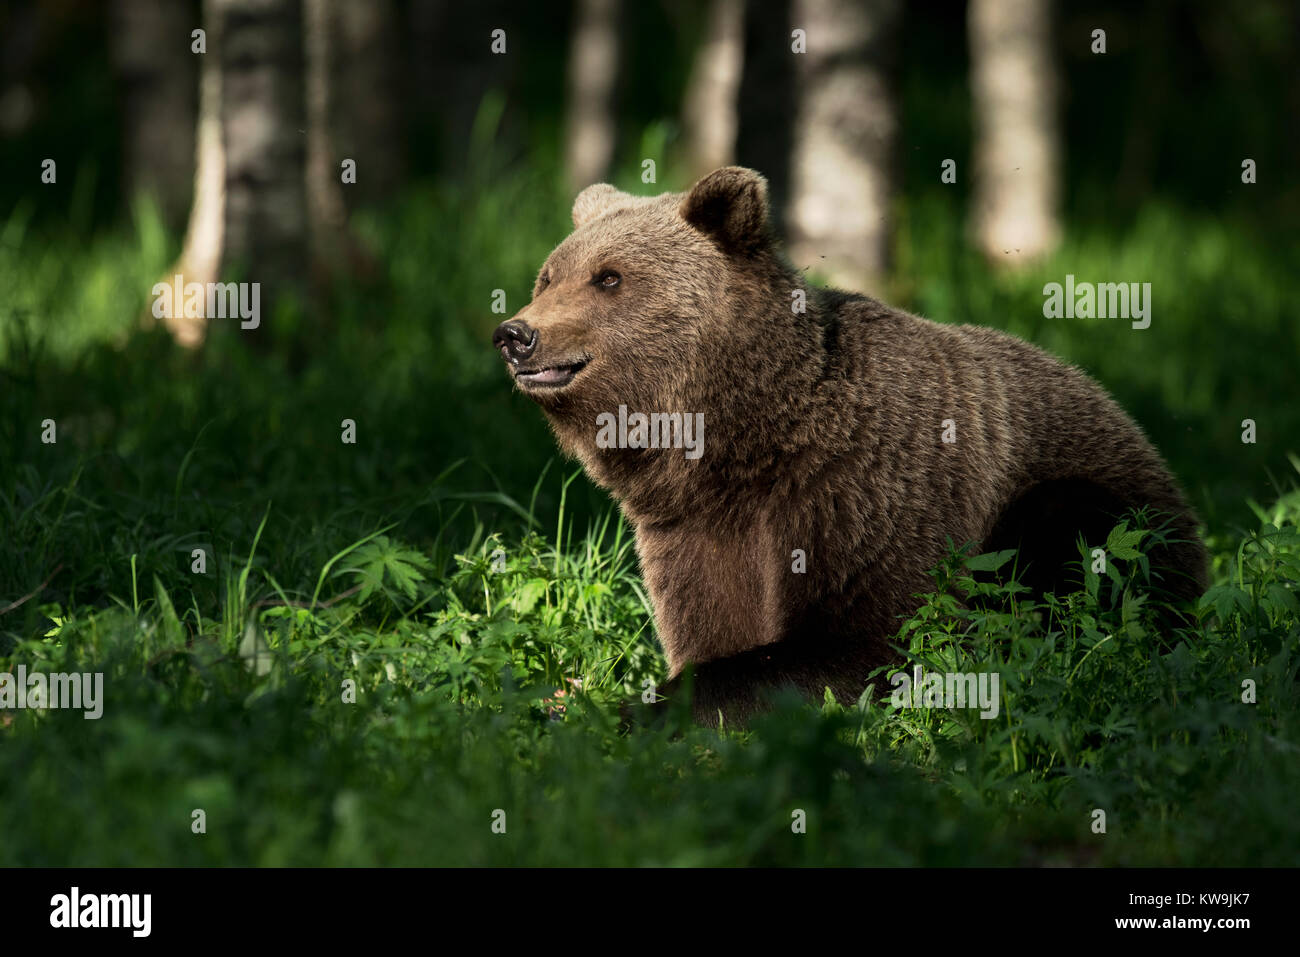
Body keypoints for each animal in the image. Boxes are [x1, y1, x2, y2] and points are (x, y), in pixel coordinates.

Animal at [493, 167, 1206, 728]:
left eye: (609, 278)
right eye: (548, 275)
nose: (516, 333)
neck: (741, 442)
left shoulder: (864, 493)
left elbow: (863, 641)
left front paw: (613, 707)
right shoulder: (693, 531)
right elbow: (709, 628)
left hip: (1094, 501)